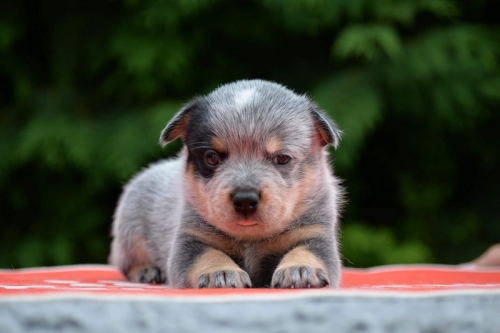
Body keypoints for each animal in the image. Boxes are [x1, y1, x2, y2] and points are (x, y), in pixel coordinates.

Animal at [109, 79, 344, 286]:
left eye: (282, 158)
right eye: (212, 157)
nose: (245, 200)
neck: (250, 240)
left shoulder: (314, 233)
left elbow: (308, 251)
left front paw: (300, 268)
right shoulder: (191, 239)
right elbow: (207, 255)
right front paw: (220, 272)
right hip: (130, 234)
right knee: (126, 262)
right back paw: (147, 270)